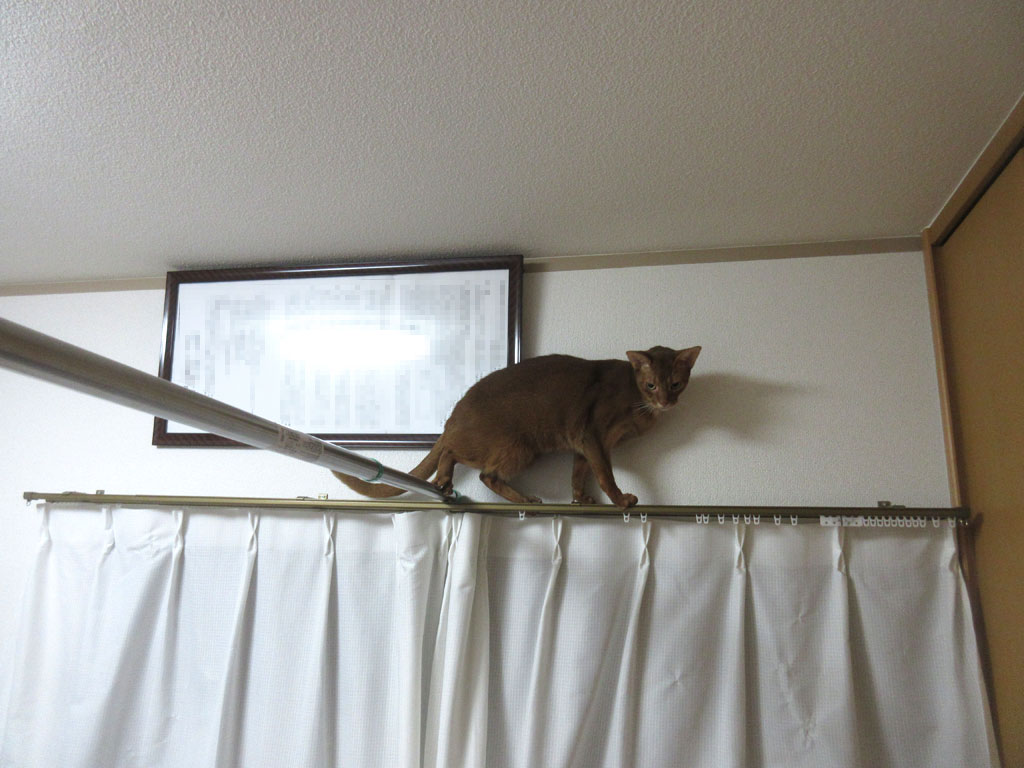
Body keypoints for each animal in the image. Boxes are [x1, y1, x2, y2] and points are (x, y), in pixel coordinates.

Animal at [333, 345, 701, 508]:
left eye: (677, 384)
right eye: (651, 385)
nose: (667, 402)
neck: (635, 397)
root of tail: (452, 417)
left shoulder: (582, 444)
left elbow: (578, 473)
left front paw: (582, 499)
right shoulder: (593, 435)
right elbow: (605, 475)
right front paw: (622, 499)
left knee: (463, 460)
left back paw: (449, 481)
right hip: (518, 447)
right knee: (475, 467)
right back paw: (519, 497)